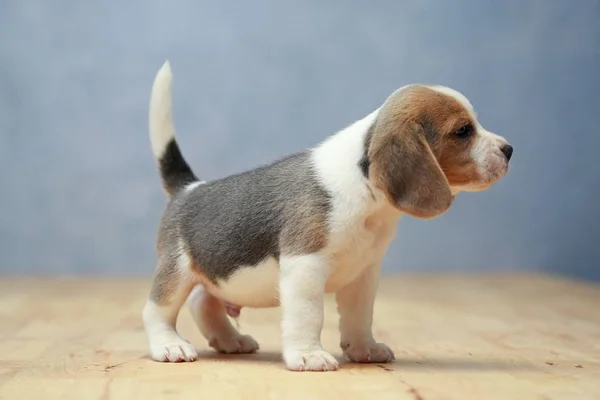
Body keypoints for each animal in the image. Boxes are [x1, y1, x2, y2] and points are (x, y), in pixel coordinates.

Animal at [141, 60, 510, 372]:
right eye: (463, 131)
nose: (509, 149)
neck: (365, 189)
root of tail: (189, 188)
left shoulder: (364, 274)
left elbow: (359, 316)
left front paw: (364, 349)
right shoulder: (304, 266)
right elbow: (309, 314)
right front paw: (308, 356)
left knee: (202, 302)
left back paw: (231, 340)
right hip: (176, 271)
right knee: (157, 310)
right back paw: (170, 346)